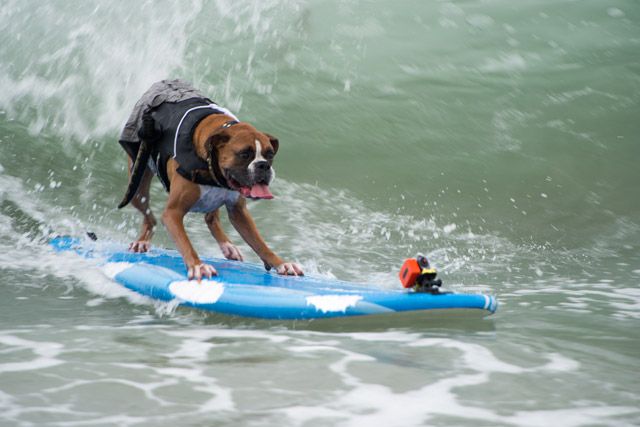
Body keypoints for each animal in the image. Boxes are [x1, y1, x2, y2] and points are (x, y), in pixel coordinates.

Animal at [119, 88, 304, 280]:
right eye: (244, 154)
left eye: (270, 154)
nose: (263, 165)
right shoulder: (172, 213)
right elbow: (185, 242)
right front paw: (198, 266)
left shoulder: (239, 213)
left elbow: (260, 243)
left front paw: (281, 263)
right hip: (137, 188)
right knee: (149, 216)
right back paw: (142, 241)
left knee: (211, 218)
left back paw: (228, 246)